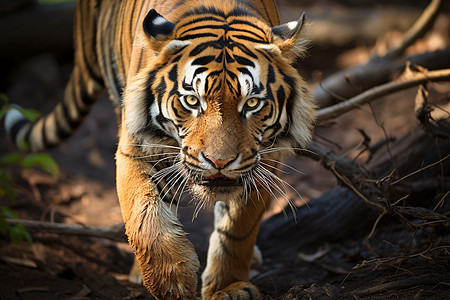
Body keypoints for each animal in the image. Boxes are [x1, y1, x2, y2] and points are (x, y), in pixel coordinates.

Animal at [3, 0, 314, 298]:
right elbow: (143, 212)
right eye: (192, 100)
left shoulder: (265, 160)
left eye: (251, 103)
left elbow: (238, 230)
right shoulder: (136, 146)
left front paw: (228, 288)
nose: (219, 161)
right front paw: (171, 279)